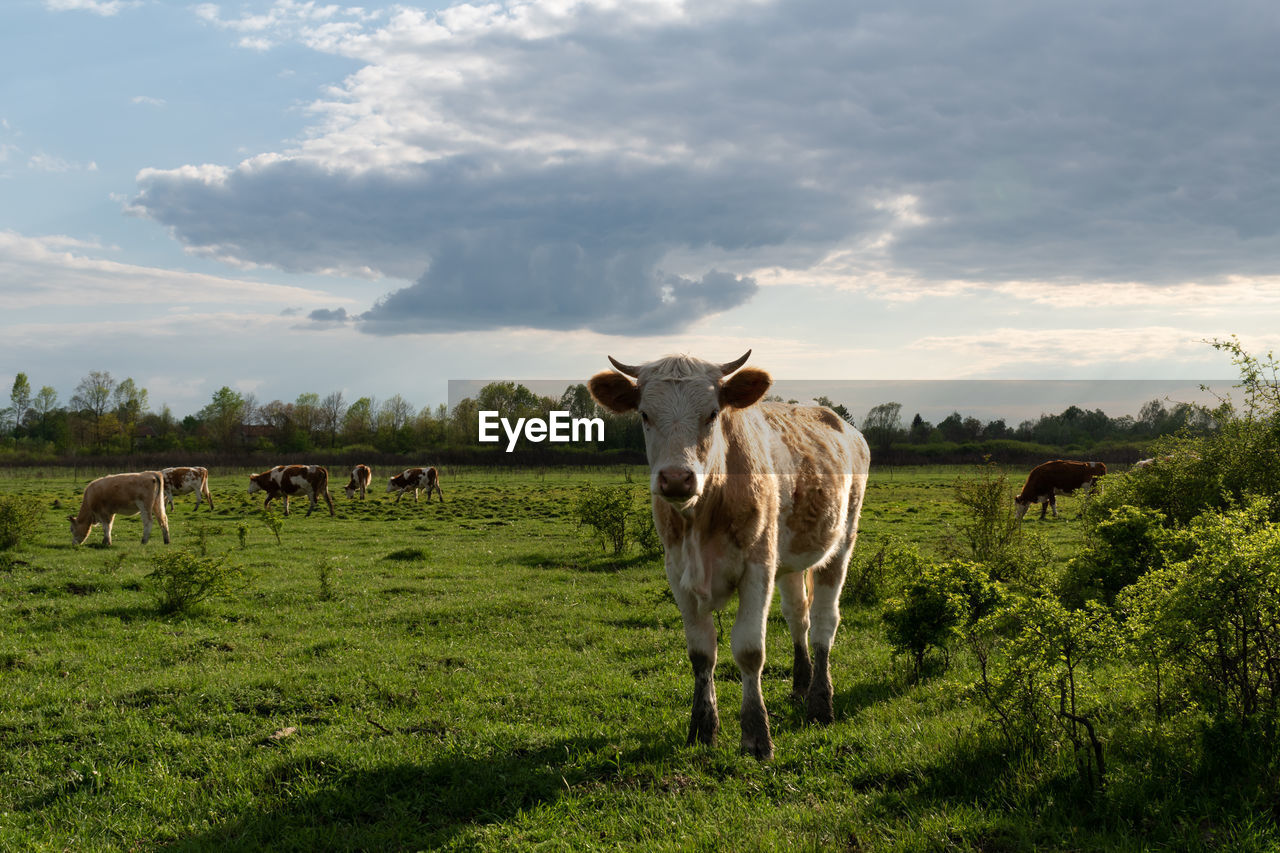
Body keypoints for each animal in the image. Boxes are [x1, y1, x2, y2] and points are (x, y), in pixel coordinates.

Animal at [589, 350, 870, 760]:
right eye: (644, 415)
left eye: (711, 413)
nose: (676, 478)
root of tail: (847, 428)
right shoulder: (678, 573)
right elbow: (701, 652)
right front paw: (703, 728)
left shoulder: (757, 568)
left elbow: (750, 650)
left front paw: (756, 735)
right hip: (788, 559)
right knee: (797, 617)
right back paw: (801, 686)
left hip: (840, 542)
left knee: (823, 622)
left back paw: (820, 701)